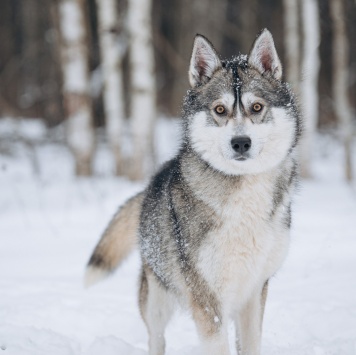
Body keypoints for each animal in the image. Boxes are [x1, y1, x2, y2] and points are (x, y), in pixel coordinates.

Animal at [85, 29, 302, 355]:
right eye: (220, 110)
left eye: (257, 107)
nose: (241, 143)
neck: (243, 193)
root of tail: (152, 183)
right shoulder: (207, 299)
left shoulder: (254, 289)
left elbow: (251, 344)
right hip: (157, 297)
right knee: (156, 337)